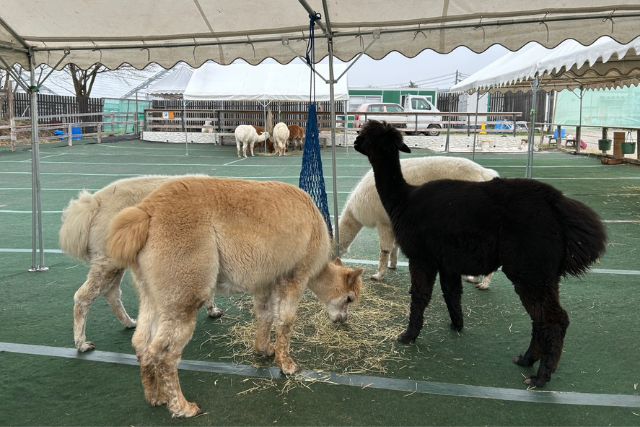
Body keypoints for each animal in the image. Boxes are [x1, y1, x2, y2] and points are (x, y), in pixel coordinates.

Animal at [59, 175, 223, 353]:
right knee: (83, 296)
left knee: (112, 293)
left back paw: (129, 323)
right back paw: (82, 344)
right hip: (107, 260)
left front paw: (212, 310)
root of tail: (94, 204)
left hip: (115, 259)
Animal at [107, 177, 363, 417]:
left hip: (153, 292)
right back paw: (183, 407)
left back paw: (155, 397)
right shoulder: (295, 276)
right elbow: (286, 321)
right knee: (166, 354)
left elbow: (265, 316)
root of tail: (146, 212)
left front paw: (264, 350)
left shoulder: (266, 280)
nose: (343, 320)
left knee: (142, 343)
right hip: (185, 286)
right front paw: (288, 366)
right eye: (350, 298)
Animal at [338, 156, 499, 286]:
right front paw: (392, 265)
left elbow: (384, 249)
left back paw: (483, 284)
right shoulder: (392, 221)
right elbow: (395, 245)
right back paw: (474, 279)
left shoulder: (382, 221)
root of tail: (485, 174)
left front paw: (378, 276)